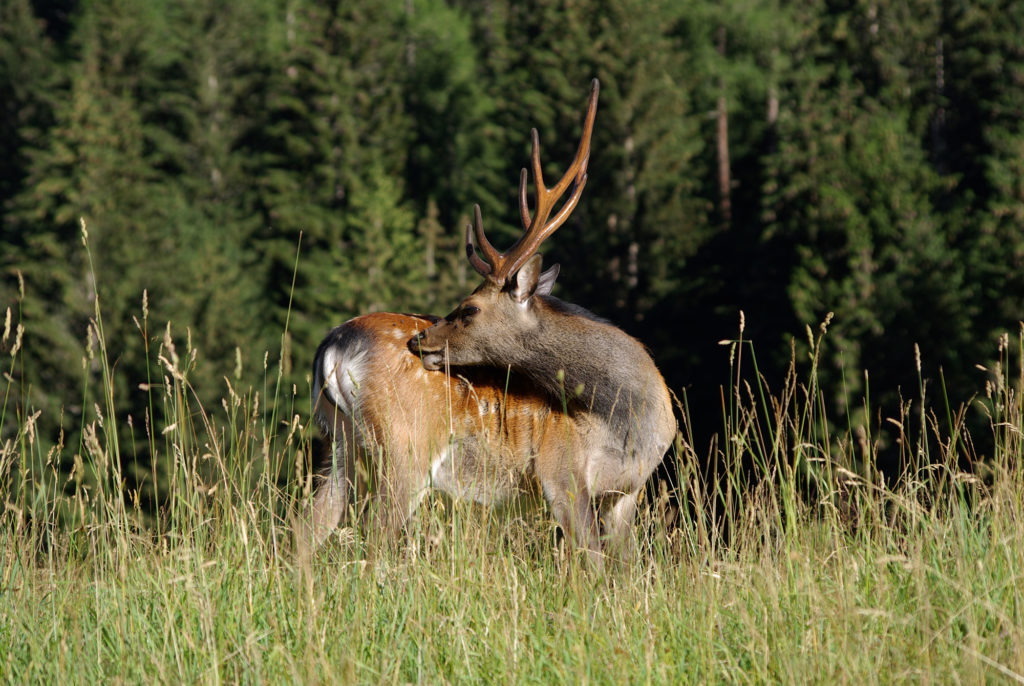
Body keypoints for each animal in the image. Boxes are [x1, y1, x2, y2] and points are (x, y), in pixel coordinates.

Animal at [299, 80, 675, 565]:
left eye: (469, 308)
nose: (421, 340)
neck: (625, 420)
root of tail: (334, 345)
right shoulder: (561, 473)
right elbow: (590, 563)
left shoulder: (627, 493)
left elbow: (625, 568)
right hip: (403, 447)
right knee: (373, 539)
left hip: (341, 441)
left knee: (305, 530)